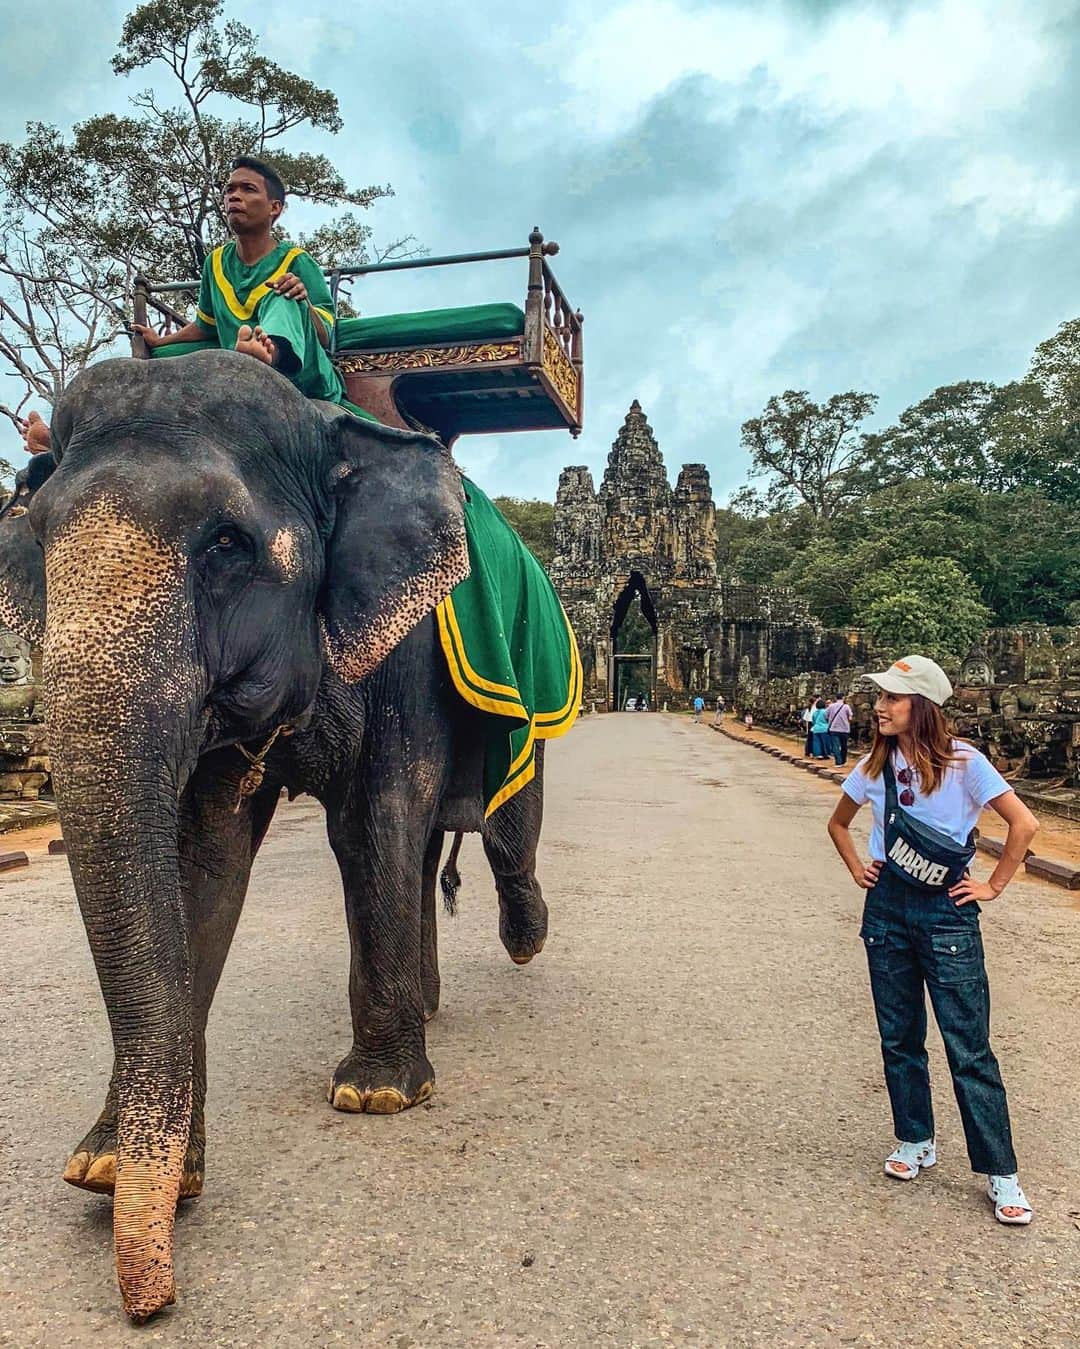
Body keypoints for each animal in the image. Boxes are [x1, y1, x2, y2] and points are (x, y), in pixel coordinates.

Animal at [0, 353, 560, 1322]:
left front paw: (376, 1095)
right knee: (426, 851)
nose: (153, 1301)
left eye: (227, 543)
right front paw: (104, 1166)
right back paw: (431, 1004)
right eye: (36, 533)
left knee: (501, 829)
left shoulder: (409, 650)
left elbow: (373, 816)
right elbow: (206, 858)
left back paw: (524, 941)